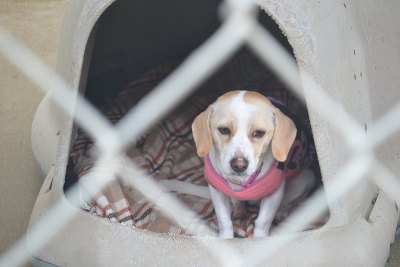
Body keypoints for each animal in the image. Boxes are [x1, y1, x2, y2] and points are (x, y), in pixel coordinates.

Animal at [162, 91, 316, 240]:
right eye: (224, 130)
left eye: (259, 133)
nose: (239, 165)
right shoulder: (217, 192)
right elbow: (224, 221)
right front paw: (226, 239)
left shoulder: (274, 194)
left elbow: (262, 222)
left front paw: (259, 239)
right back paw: (239, 209)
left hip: (305, 179)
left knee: (290, 202)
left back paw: (281, 212)